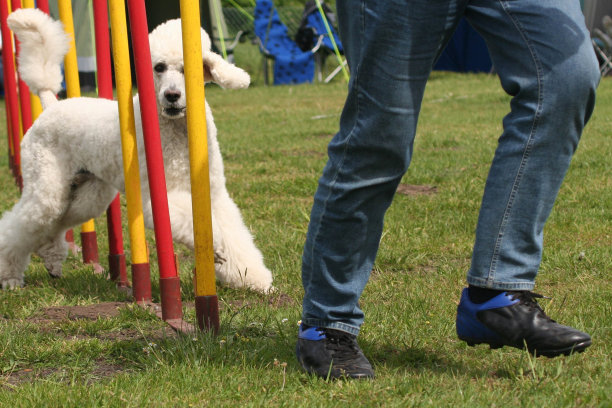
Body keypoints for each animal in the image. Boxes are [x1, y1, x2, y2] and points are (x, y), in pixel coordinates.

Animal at [0, 7, 272, 292]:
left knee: (58, 222)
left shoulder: (214, 193)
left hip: (89, 193)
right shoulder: (161, 198)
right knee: (20, 227)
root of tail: (50, 103)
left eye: (187, 69)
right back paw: (10, 276)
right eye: (159, 67)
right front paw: (216, 245)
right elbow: (195, 223)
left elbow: (235, 236)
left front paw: (254, 278)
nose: (172, 96)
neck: (177, 130)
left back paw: (51, 259)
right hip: (47, 184)